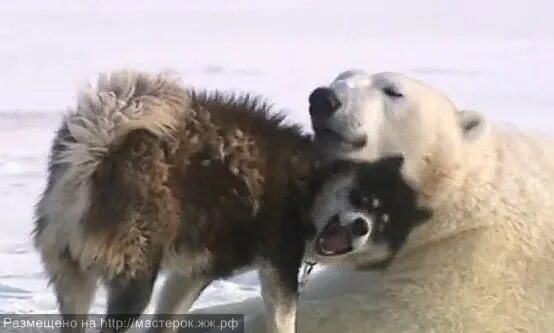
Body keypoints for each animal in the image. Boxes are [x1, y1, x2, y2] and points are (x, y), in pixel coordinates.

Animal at [33, 70, 320, 332]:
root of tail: (98, 150)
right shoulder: (279, 260)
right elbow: (283, 318)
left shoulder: (193, 272)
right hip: (134, 275)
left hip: (73, 276)